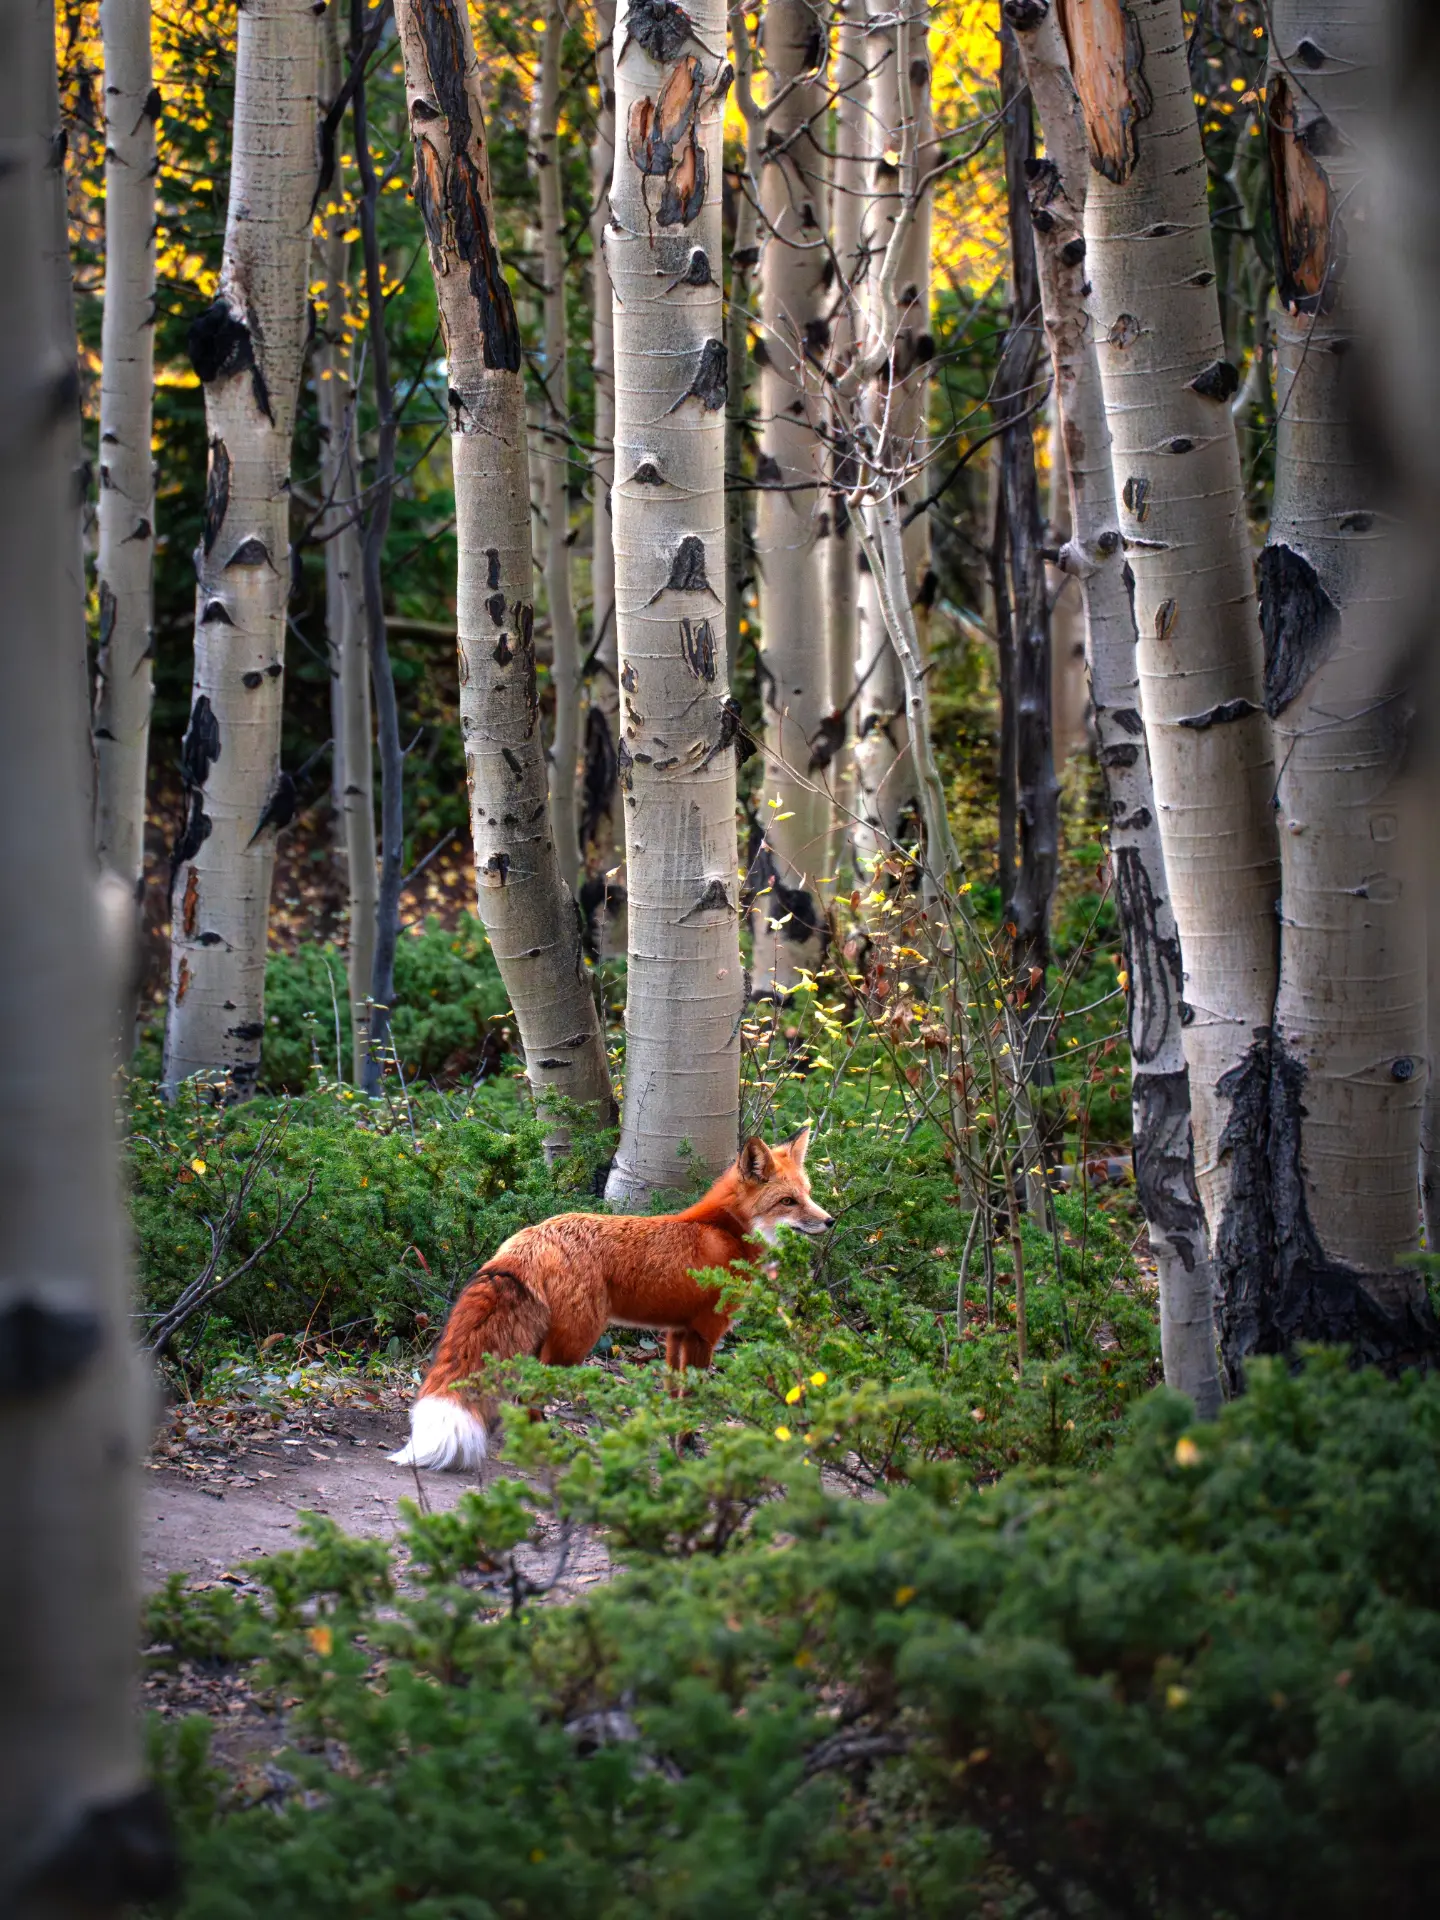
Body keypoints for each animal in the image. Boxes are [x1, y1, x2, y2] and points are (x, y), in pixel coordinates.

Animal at [388, 1125, 832, 1471]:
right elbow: (693, 1401)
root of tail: (532, 1235)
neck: (727, 1232)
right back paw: (547, 1444)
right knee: (529, 1392)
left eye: (809, 1194)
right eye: (788, 1201)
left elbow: (674, 1398)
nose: (830, 1220)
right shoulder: (705, 1333)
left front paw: (675, 1446)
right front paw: (690, 1449)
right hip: (576, 1341)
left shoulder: (677, 1333)